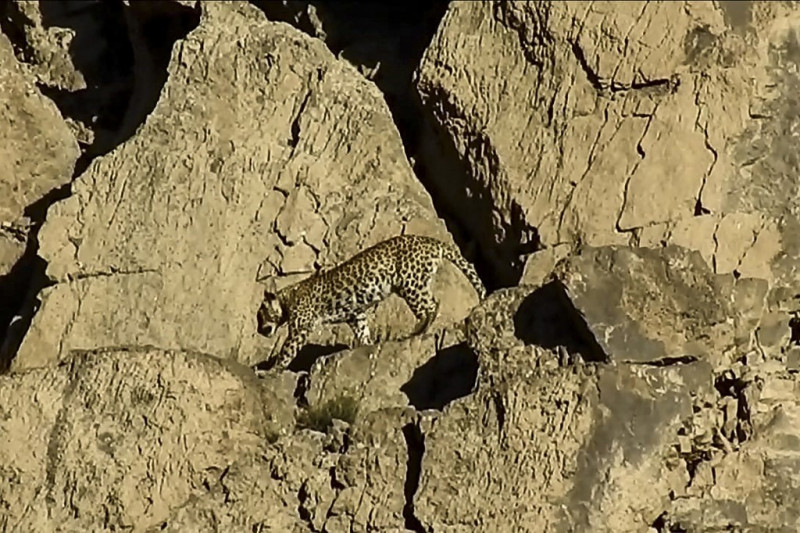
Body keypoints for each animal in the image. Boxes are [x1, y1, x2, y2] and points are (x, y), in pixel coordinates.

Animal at [255, 234, 486, 371]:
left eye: (261, 316)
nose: (259, 331)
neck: (286, 298)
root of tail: (431, 241)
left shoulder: (301, 328)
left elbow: (287, 351)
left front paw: (272, 370)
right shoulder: (356, 315)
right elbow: (363, 332)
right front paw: (366, 346)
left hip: (410, 283)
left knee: (430, 306)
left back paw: (416, 331)